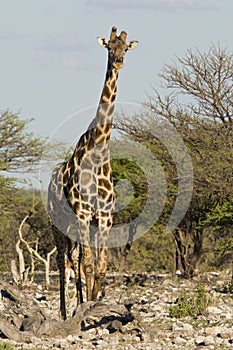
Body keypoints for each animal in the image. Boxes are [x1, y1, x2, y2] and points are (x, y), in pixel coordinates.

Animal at [47, 26, 138, 318]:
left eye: (125, 48)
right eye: (109, 47)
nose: (118, 62)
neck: (98, 150)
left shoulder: (105, 216)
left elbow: (100, 267)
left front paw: (95, 301)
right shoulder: (84, 213)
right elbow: (87, 265)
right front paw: (85, 307)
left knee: (73, 262)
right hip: (57, 223)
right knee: (64, 264)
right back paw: (66, 312)